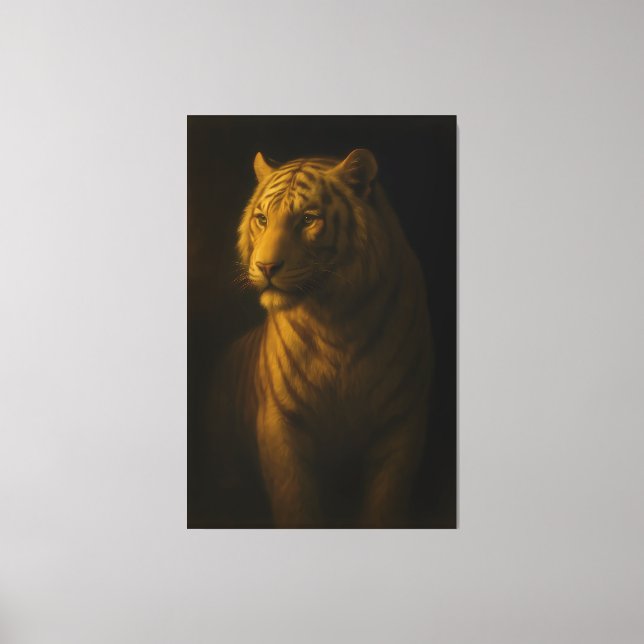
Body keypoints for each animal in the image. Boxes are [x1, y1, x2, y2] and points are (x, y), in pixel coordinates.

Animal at [214, 148, 433, 528]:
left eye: (307, 220)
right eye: (262, 219)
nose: (266, 267)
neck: (337, 322)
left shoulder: (402, 419)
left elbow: (385, 503)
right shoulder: (279, 419)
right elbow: (294, 500)